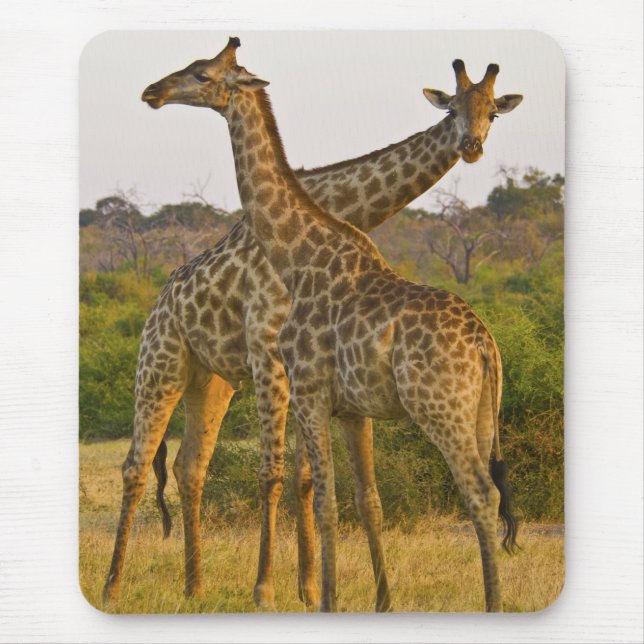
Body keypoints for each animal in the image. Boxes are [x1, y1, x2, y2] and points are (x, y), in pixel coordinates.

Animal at [103, 37, 522, 611]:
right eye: (452, 109)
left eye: (201, 73)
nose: (154, 91)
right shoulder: (306, 380)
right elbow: (322, 488)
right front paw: (300, 590)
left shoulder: (300, 381)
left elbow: (310, 486)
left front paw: (297, 591)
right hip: (171, 369)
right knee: (151, 465)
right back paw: (138, 586)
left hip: (221, 381)